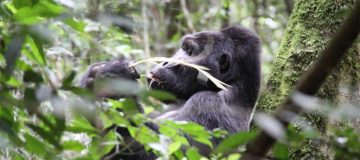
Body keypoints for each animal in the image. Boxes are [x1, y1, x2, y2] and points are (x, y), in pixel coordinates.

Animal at [79, 25, 262, 159]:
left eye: (190, 51)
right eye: (183, 47)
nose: (165, 62)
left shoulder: (208, 104)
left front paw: (114, 82)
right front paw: (91, 78)